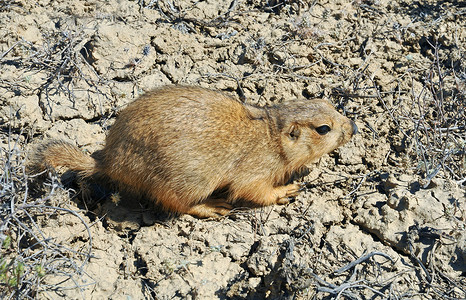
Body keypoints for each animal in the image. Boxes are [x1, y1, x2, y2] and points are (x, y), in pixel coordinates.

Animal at [34, 85, 358, 217]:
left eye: (328, 103)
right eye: (324, 129)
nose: (353, 126)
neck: (271, 136)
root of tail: (110, 162)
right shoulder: (256, 169)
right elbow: (253, 190)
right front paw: (287, 190)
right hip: (189, 181)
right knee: (177, 204)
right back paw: (213, 206)